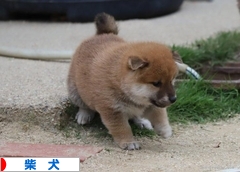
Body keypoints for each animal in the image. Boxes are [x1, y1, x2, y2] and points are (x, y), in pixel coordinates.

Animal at [66, 12, 181, 150]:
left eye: (172, 80)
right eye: (156, 83)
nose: (173, 99)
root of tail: (102, 34)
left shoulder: (152, 103)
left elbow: (160, 115)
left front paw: (164, 130)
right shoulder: (113, 110)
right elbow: (122, 128)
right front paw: (128, 142)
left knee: (136, 115)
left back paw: (143, 121)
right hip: (75, 91)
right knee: (84, 105)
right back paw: (84, 115)